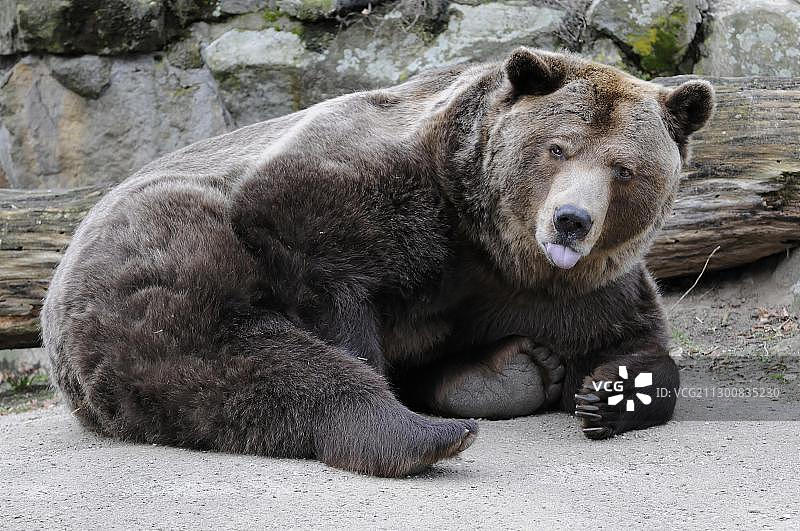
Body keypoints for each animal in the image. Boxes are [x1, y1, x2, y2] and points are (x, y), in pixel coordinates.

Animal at [41, 48, 714, 477]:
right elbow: (310, 249)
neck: (491, 242)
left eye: (623, 169)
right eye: (557, 148)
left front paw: (614, 392)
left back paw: (508, 374)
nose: (571, 220)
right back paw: (424, 433)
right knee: (239, 354)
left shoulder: (569, 288)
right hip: (153, 257)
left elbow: (630, 338)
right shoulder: (375, 192)